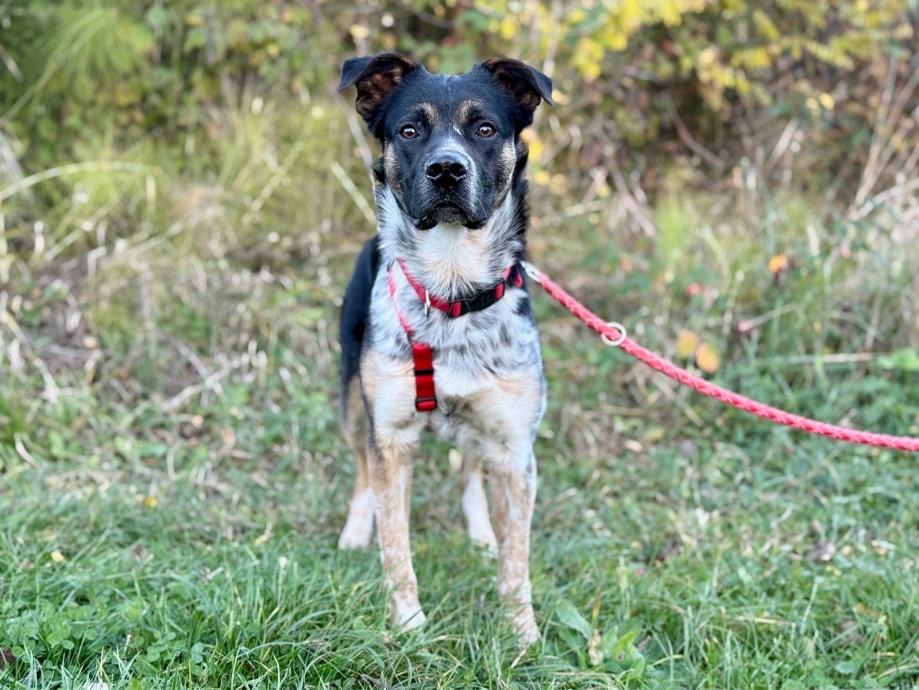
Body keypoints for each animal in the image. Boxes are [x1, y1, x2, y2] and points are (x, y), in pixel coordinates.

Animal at [336, 53, 552, 645]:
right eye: (410, 130)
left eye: (486, 130)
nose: (447, 170)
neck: (453, 288)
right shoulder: (390, 436)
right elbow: (396, 545)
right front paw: (408, 622)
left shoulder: (515, 447)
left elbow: (517, 560)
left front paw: (522, 633)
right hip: (351, 397)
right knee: (360, 465)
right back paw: (355, 528)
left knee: (471, 469)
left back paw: (480, 533)